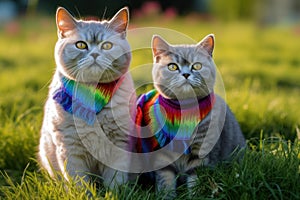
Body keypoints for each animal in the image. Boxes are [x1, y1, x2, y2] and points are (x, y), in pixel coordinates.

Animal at [38, 6, 136, 188]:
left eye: (107, 45)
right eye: (81, 45)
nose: (95, 55)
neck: (93, 93)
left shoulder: (119, 144)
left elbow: (116, 180)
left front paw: (116, 191)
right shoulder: (70, 147)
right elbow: (79, 182)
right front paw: (83, 192)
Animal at [135, 33, 247, 198]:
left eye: (197, 66)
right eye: (173, 66)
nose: (186, 74)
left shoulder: (201, 155)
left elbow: (196, 182)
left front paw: (195, 196)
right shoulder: (163, 155)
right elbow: (166, 181)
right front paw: (167, 196)